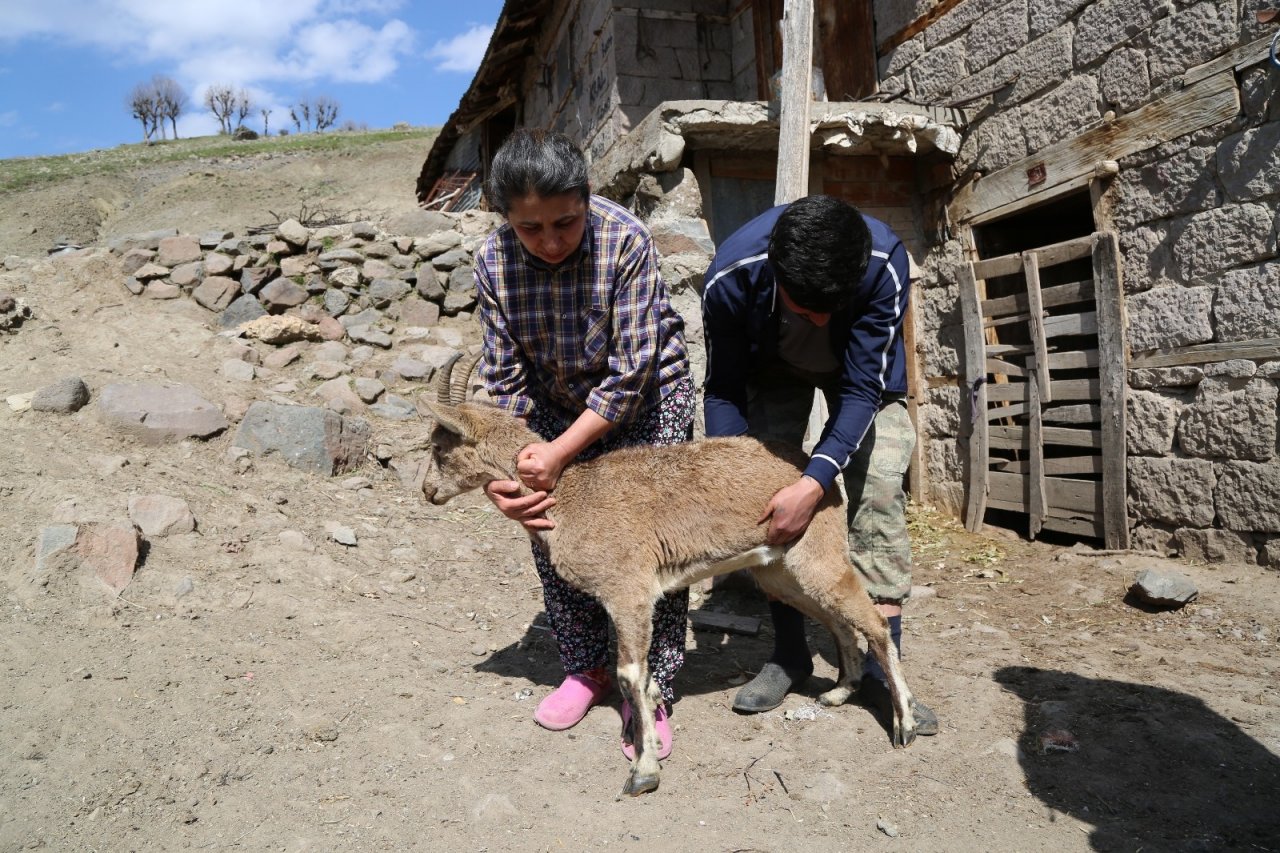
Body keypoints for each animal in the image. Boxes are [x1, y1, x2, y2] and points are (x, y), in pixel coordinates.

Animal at [422, 356, 921, 794]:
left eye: (440, 447)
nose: (428, 491)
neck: (569, 498)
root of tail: (821, 478)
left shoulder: (628, 592)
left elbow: (631, 677)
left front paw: (644, 770)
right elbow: (641, 679)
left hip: (818, 554)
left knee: (875, 620)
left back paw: (906, 724)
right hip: (779, 570)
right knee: (840, 620)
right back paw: (838, 694)